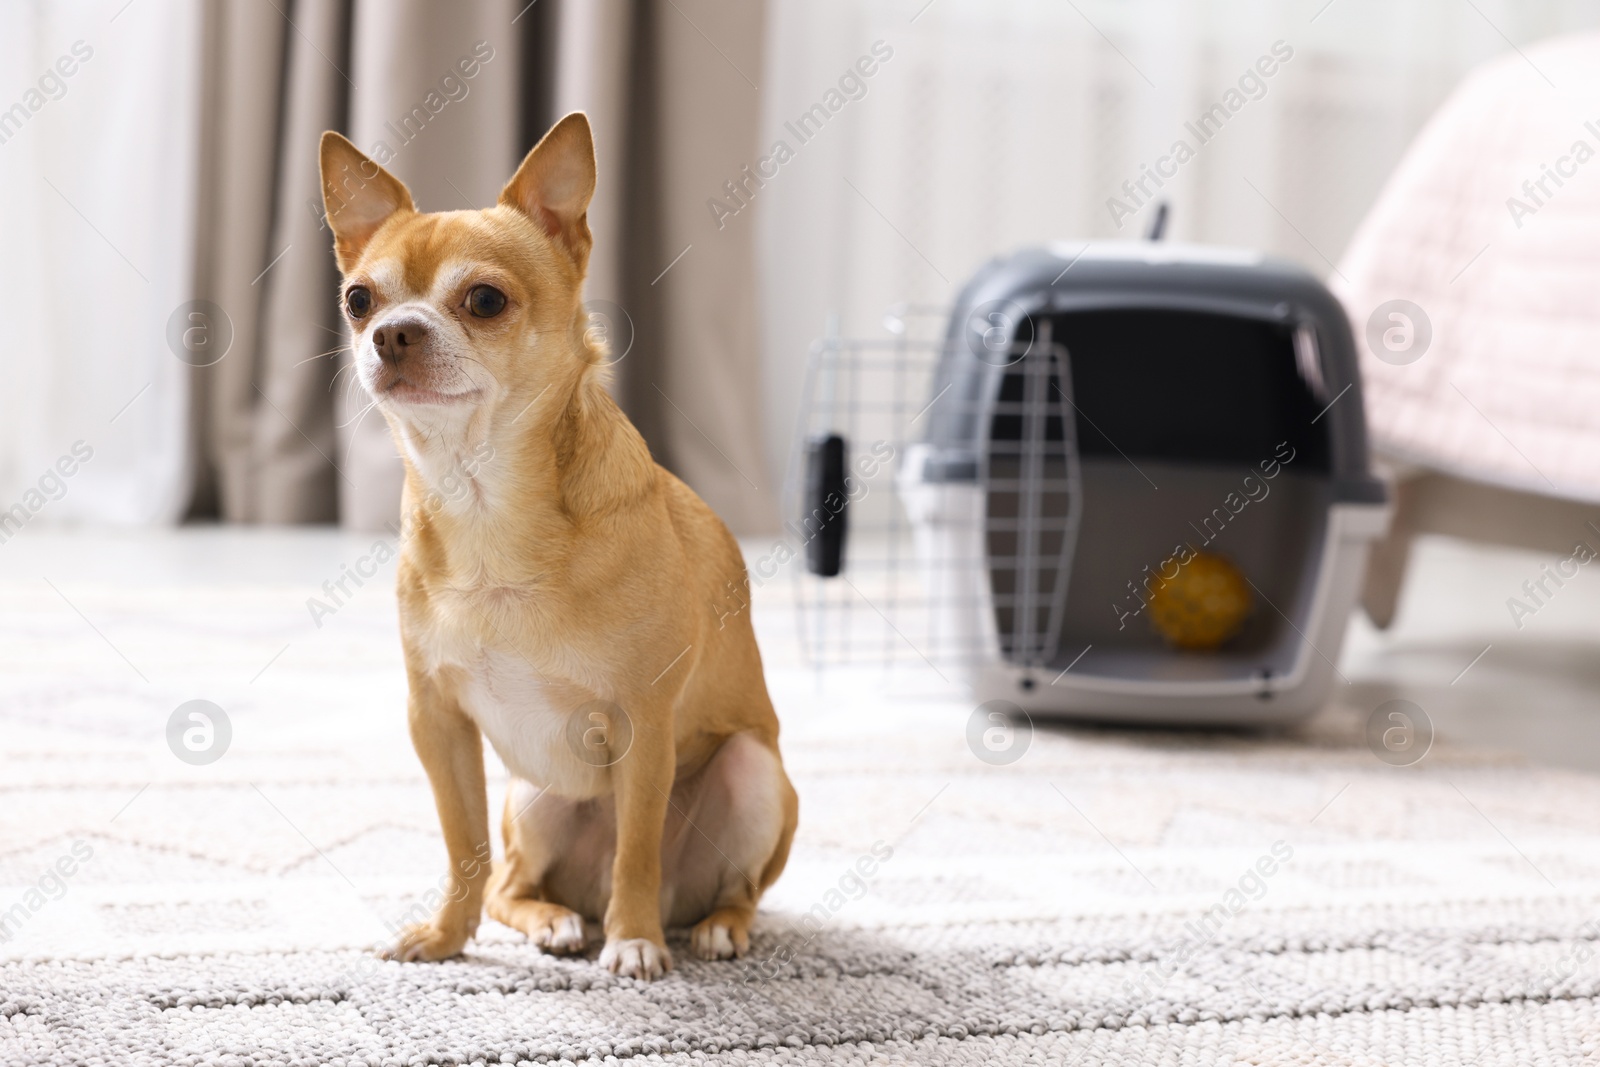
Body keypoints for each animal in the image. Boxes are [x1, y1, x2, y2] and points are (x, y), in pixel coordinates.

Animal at [318, 112, 800, 979]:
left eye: (484, 300)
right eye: (358, 300)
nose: (391, 332)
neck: (485, 501)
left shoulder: (642, 725)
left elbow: (637, 844)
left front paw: (634, 941)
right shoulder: (437, 721)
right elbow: (463, 845)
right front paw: (445, 935)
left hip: (754, 771)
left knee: (726, 883)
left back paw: (706, 926)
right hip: (535, 796)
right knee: (512, 878)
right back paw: (551, 919)